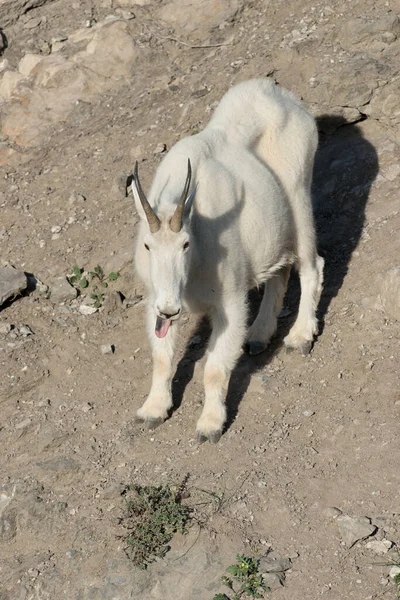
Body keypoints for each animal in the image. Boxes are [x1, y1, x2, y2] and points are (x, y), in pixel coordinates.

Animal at [133, 77, 324, 442]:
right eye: (148, 246)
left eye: (185, 244)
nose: (170, 309)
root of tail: (278, 93)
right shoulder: (154, 298)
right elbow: (161, 357)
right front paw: (152, 410)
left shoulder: (230, 302)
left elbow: (214, 368)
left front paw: (210, 425)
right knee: (279, 270)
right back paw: (259, 334)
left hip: (299, 195)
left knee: (311, 265)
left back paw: (300, 335)